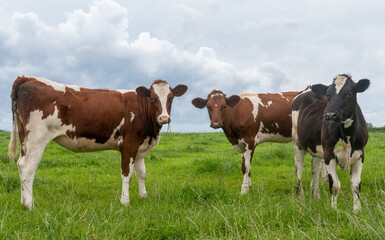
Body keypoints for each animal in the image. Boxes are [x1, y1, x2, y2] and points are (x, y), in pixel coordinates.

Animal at [7, 76, 188, 209]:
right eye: (152, 98)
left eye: (171, 98)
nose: (164, 118)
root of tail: (28, 78)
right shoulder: (128, 145)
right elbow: (127, 175)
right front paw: (125, 202)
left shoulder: (140, 147)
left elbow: (141, 173)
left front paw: (143, 196)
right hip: (37, 138)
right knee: (28, 167)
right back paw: (30, 205)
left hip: (24, 138)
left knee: (20, 164)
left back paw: (23, 202)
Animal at [292, 73, 368, 212]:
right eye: (328, 95)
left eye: (349, 94)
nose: (330, 115)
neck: (347, 136)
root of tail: (308, 89)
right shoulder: (329, 154)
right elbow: (335, 185)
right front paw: (334, 210)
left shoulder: (360, 154)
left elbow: (355, 185)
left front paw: (357, 210)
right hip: (297, 142)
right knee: (299, 168)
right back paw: (301, 196)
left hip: (317, 148)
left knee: (315, 169)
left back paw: (316, 196)